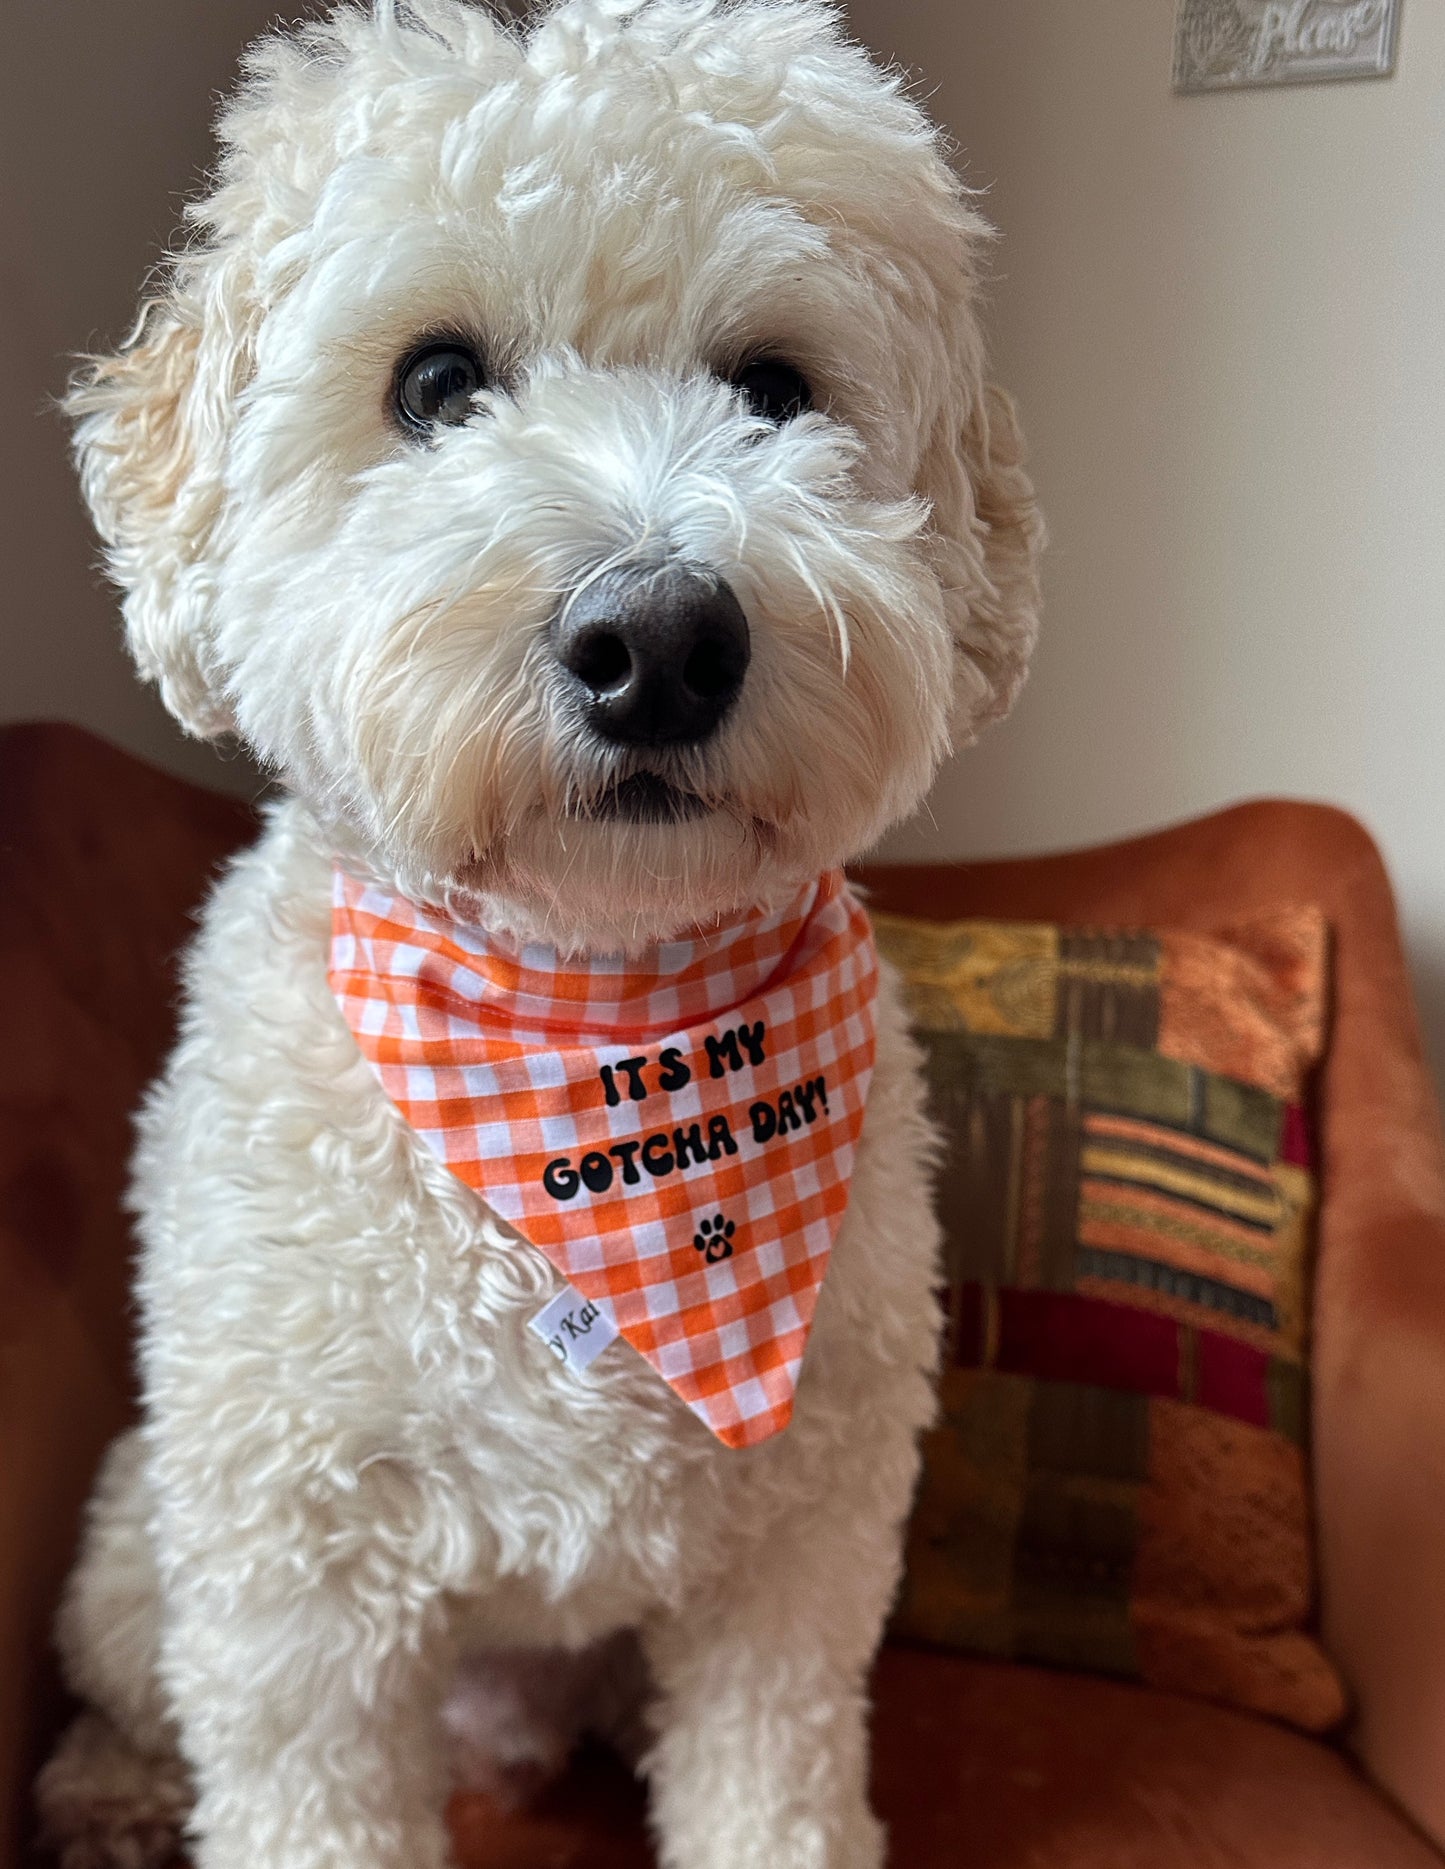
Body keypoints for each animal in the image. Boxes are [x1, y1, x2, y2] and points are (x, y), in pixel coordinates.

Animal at [33, 3, 1039, 1869]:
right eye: (435, 384)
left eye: (774, 387)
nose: (660, 639)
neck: (590, 1023)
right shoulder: (293, 1586)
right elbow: (301, 1792)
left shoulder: (798, 1558)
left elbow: (771, 1779)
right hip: (149, 1535)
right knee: (132, 1685)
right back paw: (112, 1792)